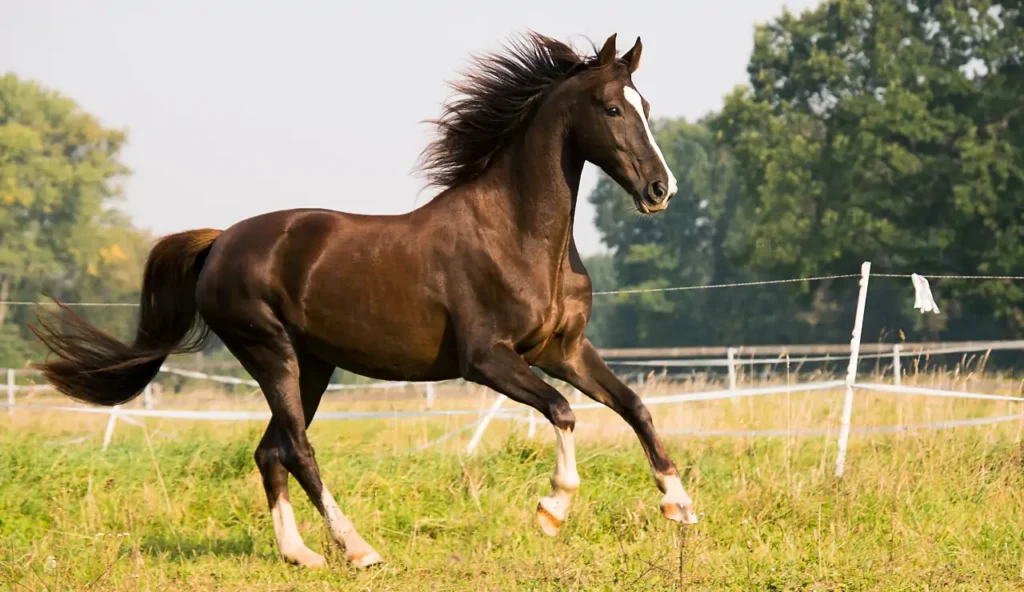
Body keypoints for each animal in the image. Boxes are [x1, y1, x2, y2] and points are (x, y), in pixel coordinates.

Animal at [32, 32, 696, 569]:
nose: (660, 190)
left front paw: (680, 504)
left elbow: (634, 405)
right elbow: (562, 411)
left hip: (313, 365)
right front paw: (552, 510)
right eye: (612, 108)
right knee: (297, 449)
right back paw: (358, 549)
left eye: (645, 106)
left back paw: (300, 555)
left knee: (270, 450)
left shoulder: (564, 350)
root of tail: (220, 242)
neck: (518, 236)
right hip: (270, 353)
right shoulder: (488, 360)